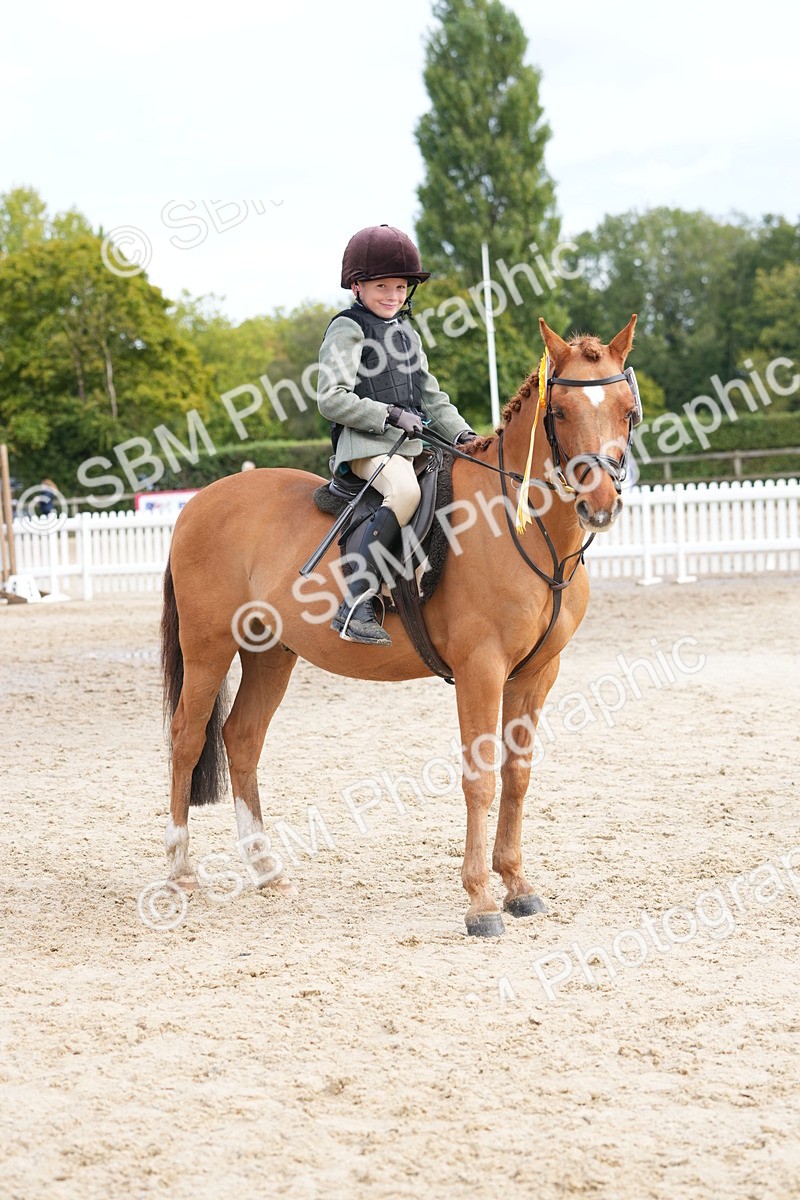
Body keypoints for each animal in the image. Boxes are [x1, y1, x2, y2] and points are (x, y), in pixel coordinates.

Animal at [160, 315, 640, 936]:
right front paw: (481, 902)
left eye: (628, 410)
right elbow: (480, 778)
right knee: (187, 737)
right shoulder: (481, 670)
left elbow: (517, 776)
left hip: (270, 652)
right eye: (558, 412)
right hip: (209, 648)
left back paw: (268, 871)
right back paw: (179, 871)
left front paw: (517, 886)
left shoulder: (537, 674)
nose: (599, 504)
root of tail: (196, 504)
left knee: (241, 739)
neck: (521, 527)